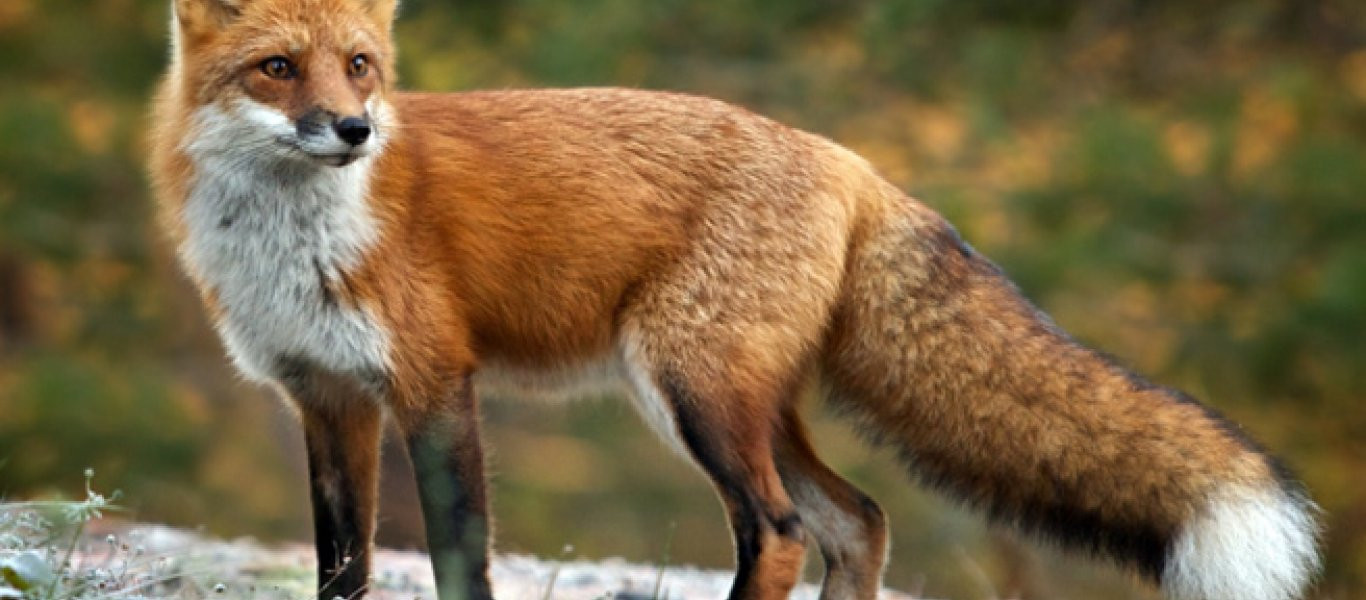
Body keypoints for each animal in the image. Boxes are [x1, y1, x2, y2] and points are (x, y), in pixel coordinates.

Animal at [149, 1, 1322, 600]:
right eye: (277, 68)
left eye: (359, 66)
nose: (354, 131)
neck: (296, 240)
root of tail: (853, 162)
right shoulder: (326, 397)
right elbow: (341, 565)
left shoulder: (436, 383)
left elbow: (456, 558)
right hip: (730, 402)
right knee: (859, 521)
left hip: (695, 395)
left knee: (785, 529)